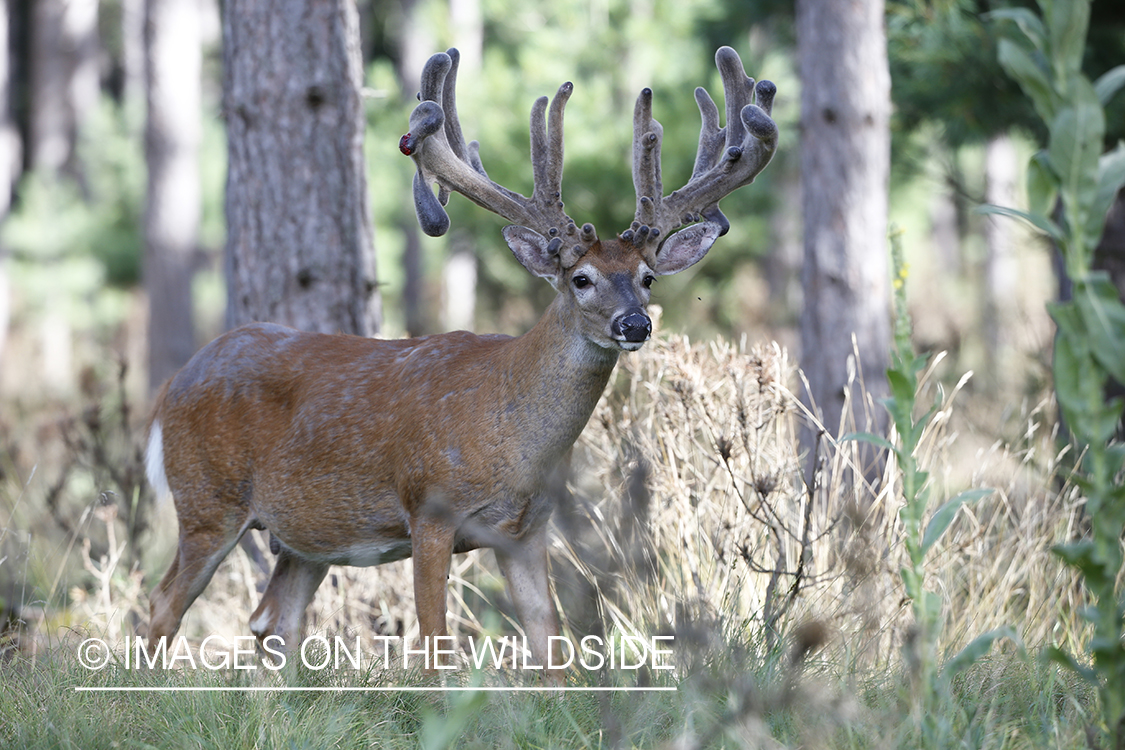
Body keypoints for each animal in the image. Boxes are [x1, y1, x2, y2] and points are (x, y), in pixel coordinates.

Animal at [147, 46, 774, 679]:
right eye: (581, 278)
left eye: (647, 278)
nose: (635, 325)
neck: (510, 435)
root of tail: (170, 386)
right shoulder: (429, 507)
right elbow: (434, 645)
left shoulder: (528, 530)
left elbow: (554, 653)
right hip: (207, 498)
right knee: (164, 602)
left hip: (305, 533)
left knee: (272, 618)